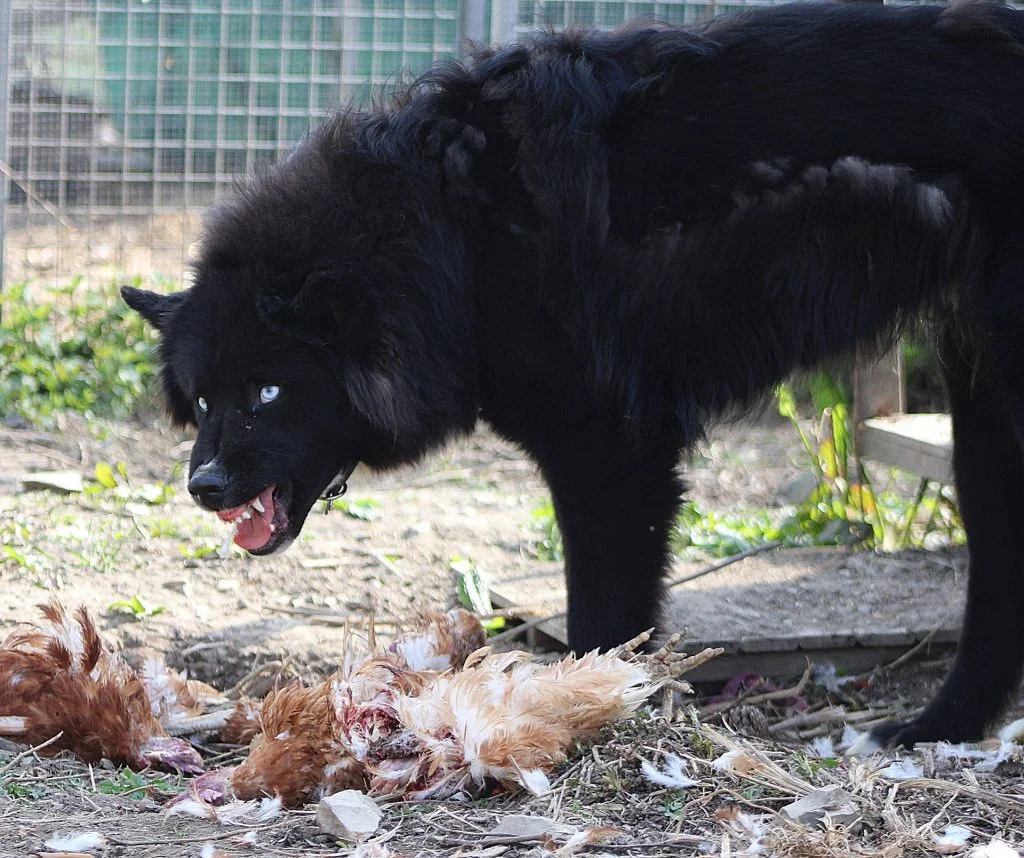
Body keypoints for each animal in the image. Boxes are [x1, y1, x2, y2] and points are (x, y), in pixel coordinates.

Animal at [123, 0, 1024, 749]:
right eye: (201, 399)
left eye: (268, 392)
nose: (203, 486)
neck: (450, 232)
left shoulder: (609, 450)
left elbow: (602, 615)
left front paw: (582, 713)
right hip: (982, 409)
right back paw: (943, 728)